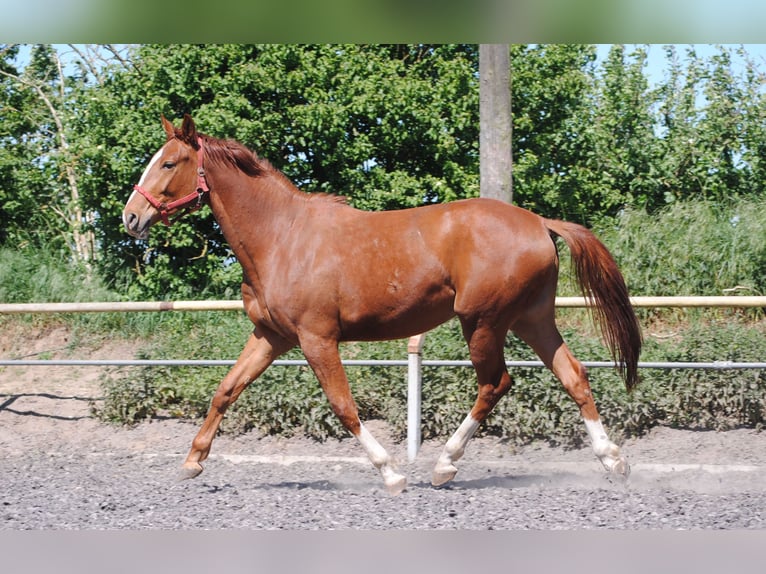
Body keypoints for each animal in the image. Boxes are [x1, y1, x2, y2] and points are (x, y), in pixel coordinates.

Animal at [123, 115, 642, 495]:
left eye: (169, 163)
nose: (131, 216)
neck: (281, 237)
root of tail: (539, 222)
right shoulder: (272, 336)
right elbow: (226, 390)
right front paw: (192, 462)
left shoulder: (317, 338)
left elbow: (343, 406)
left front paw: (391, 473)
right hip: (532, 319)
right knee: (574, 375)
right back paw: (613, 460)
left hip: (483, 322)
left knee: (495, 383)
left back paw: (444, 466)